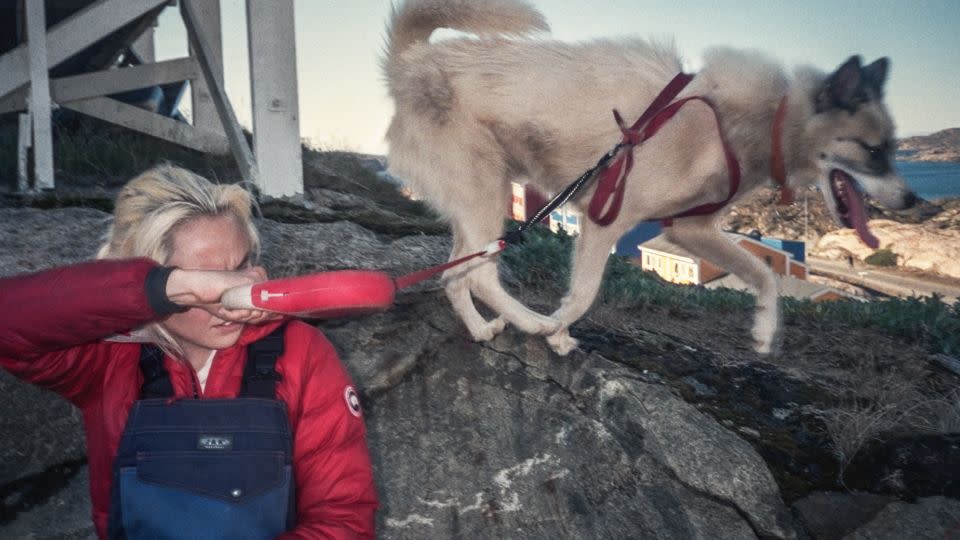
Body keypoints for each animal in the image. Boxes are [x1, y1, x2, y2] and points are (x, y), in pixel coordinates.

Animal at [380, 0, 916, 356]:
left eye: (893, 146)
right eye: (874, 149)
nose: (912, 200)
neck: (758, 119)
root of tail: (412, 64)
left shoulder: (691, 229)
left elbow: (764, 273)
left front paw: (765, 330)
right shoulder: (607, 219)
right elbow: (583, 296)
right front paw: (557, 330)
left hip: (476, 203)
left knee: (454, 274)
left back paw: (481, 330)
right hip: (485, 195)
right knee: (480, 274)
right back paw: (530, 322)